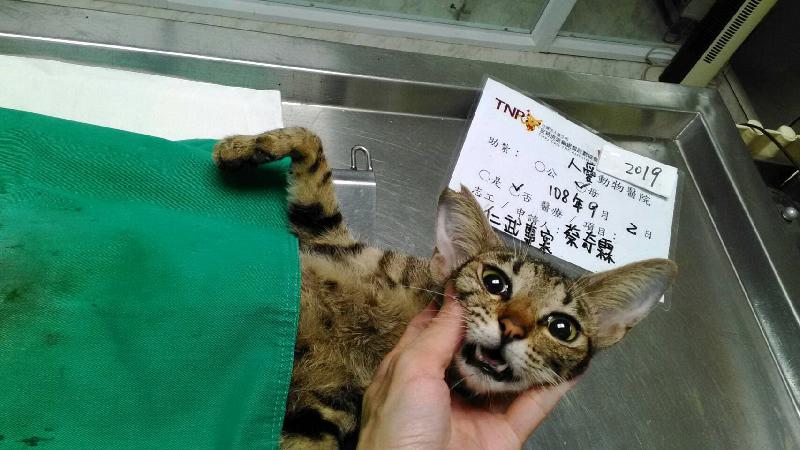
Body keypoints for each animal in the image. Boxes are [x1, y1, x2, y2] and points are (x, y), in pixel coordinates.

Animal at [212, 127, 677, 450]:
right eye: (495, 282)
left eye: (563, 328)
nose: (512, 328)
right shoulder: (328, 235)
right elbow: (310, 144)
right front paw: (237, 148)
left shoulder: (319, 414)